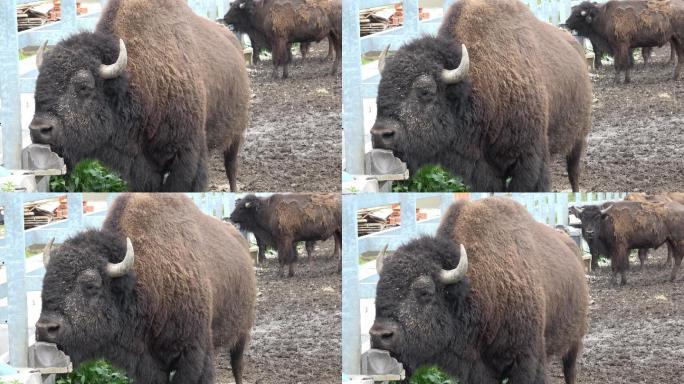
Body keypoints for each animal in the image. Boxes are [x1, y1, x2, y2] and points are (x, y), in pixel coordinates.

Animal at [29, 0, 250, 192]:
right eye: (39, 84)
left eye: (84, 87)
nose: (39, 130)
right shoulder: (143, 168)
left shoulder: (187, 158)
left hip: (236, 132)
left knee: (231, 166)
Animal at [34, 195, 256, 384]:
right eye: (46, 281)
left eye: (91, 285)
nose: (45, 329)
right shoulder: (149, 364)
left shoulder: (193, 356)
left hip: (243, 329)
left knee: (237, 364)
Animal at [368, 198, 588, 384]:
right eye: (379, 288)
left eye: (425, 292)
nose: (379, 335)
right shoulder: (478, 369)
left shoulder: (527, 360)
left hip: (575, 338)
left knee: (570, 368)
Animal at [372, 0, 592, 192]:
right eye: (381, 89)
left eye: (426, 91)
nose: (380, 135)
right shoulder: (485, 170)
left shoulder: (530, 162)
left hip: (579, 135)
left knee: (574, 170)